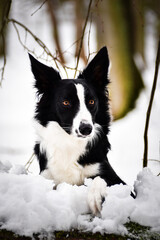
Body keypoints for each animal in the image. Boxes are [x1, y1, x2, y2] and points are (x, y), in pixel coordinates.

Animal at [28, 46, 132, 214]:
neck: (70, 143)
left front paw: (96, 198)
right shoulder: (47, 176)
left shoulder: (114, 178)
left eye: (91, 101)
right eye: (66, 102)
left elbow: (99, 178)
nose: (86, 129)